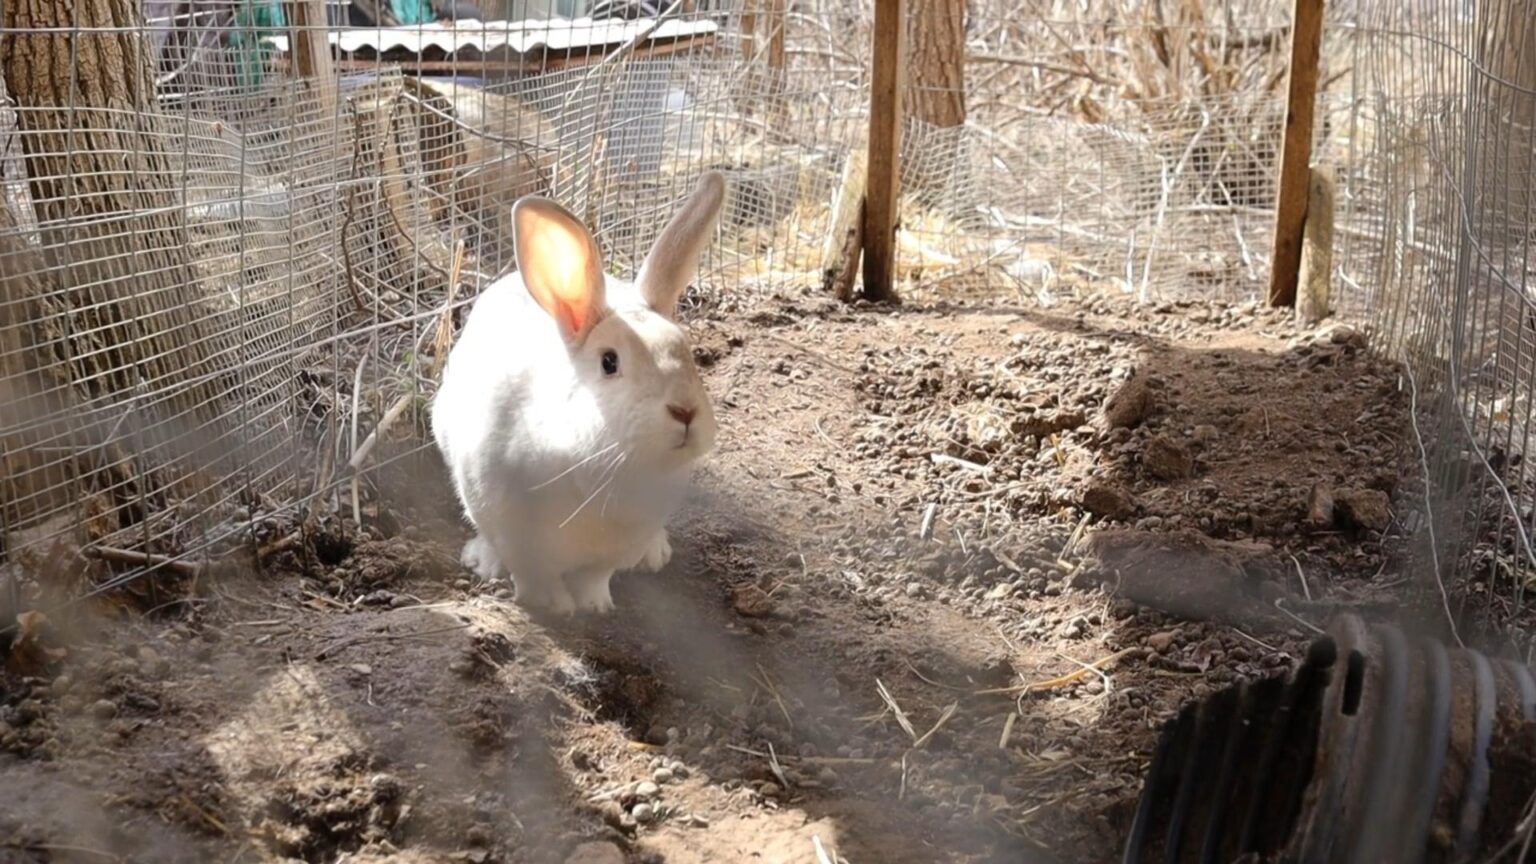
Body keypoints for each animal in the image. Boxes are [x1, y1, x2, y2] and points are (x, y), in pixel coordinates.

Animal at [430, 171, 726, 615]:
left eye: (687, 351)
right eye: (609, 362)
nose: (686, 412)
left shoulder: (613, 551)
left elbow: (595, 577)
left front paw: (594, 605)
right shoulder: (513, 532)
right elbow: (532, 573)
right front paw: (554, 605)